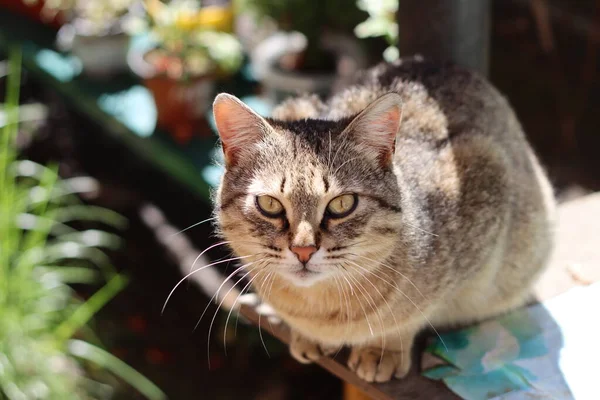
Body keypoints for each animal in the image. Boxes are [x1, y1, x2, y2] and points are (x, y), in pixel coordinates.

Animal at [212, 56, 556, 382]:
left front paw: (382, 350)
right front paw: (306, 336)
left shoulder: (486, 171)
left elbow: (410, 317)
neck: (321, 309)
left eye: (342, 204)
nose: (303, 250)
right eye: (269, 204)